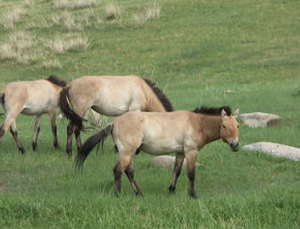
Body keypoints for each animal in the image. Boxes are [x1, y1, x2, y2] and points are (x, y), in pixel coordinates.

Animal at [76, 106, 240, 198]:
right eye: (224, 126)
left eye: (238, 125)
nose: (236, 145)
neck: (197, 123)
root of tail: (114, 122)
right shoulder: (191, 152)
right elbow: (191, 174)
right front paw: (192, 195)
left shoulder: (180, 153)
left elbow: (177, 171)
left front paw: (171, 190)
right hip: (127, 153)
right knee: (118, 170)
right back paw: (118, 194)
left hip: (128, 153)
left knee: (129, 172)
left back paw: (139, 193)